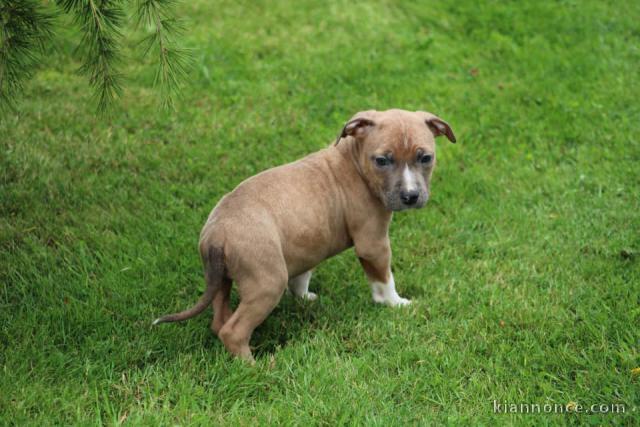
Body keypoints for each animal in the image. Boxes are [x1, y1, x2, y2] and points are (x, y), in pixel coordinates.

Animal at [154, 109, 456, 362]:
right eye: (382, 160)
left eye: (425, 158)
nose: (411, 196)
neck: (355, 163)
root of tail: (216, 234)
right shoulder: (373, 244)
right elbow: (383, 280)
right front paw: (395, 303)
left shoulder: (306, 243)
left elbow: (301, 275)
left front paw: (304, 297)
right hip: (267, 283)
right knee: (234, 330)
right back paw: (255, 368)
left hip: (220, 278)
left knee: (220, 321)